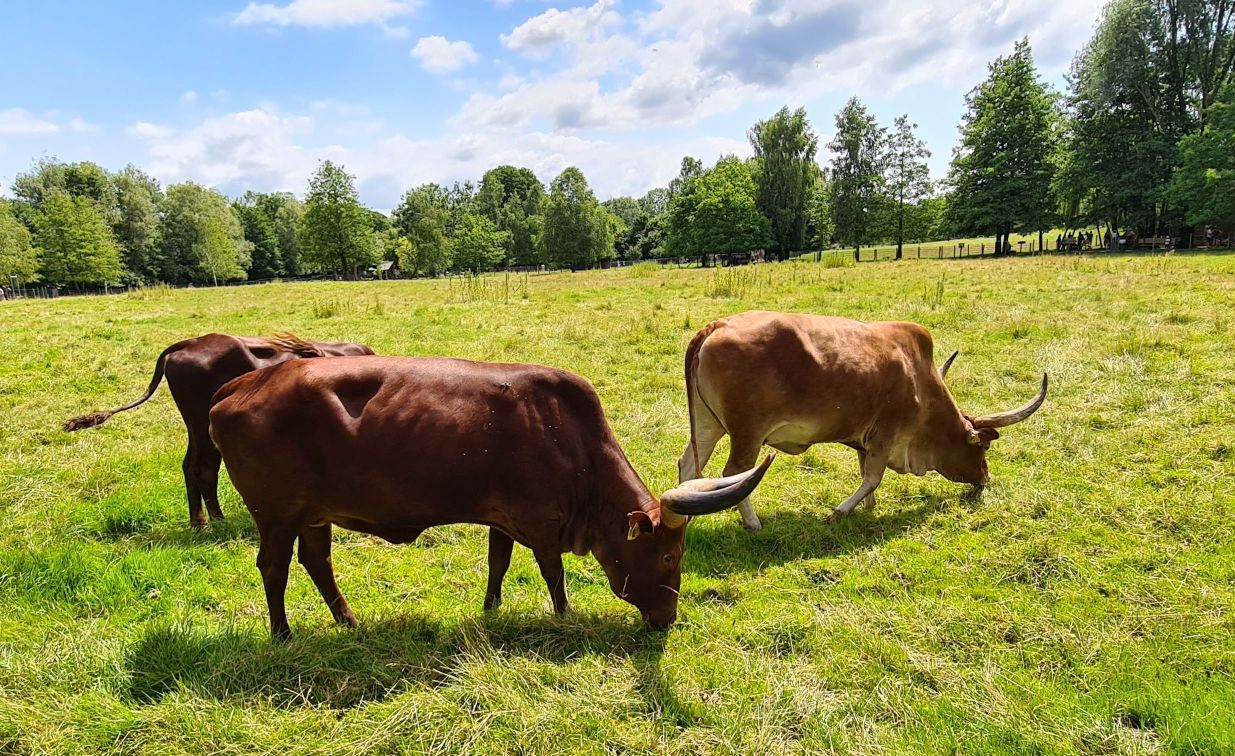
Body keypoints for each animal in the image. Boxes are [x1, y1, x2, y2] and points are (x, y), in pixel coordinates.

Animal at [64, 333, 374, 528]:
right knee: (203, 469)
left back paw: (199, 521)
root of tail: (186, 345)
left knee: (190, 466)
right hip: (204, 428)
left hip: (197, 428)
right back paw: (217, 520)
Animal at [208, 356, 773, 638]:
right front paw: (564, 616)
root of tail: (243, 383)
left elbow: (498, 563)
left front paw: (491, 609)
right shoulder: (541, 522)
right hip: (277, 515)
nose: (667, 620)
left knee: (317, 561)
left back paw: (347, 621)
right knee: (274, 567)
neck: (570, 438)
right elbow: (552, 573)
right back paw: (282, 633)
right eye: (671, 556)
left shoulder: (504, 520)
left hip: (313, 514)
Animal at [678, 311, 1047, 531]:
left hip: (708, 426)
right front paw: (841, 511)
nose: (985, 478)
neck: (919, 379)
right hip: (747, 434)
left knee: (688, 465)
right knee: (735, 473)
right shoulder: (887, 432)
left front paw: (868, 507)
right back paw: (753, 523)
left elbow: (864, 473)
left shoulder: (864, 439)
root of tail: (717, 326)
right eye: (983, 448)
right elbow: (873, 477)